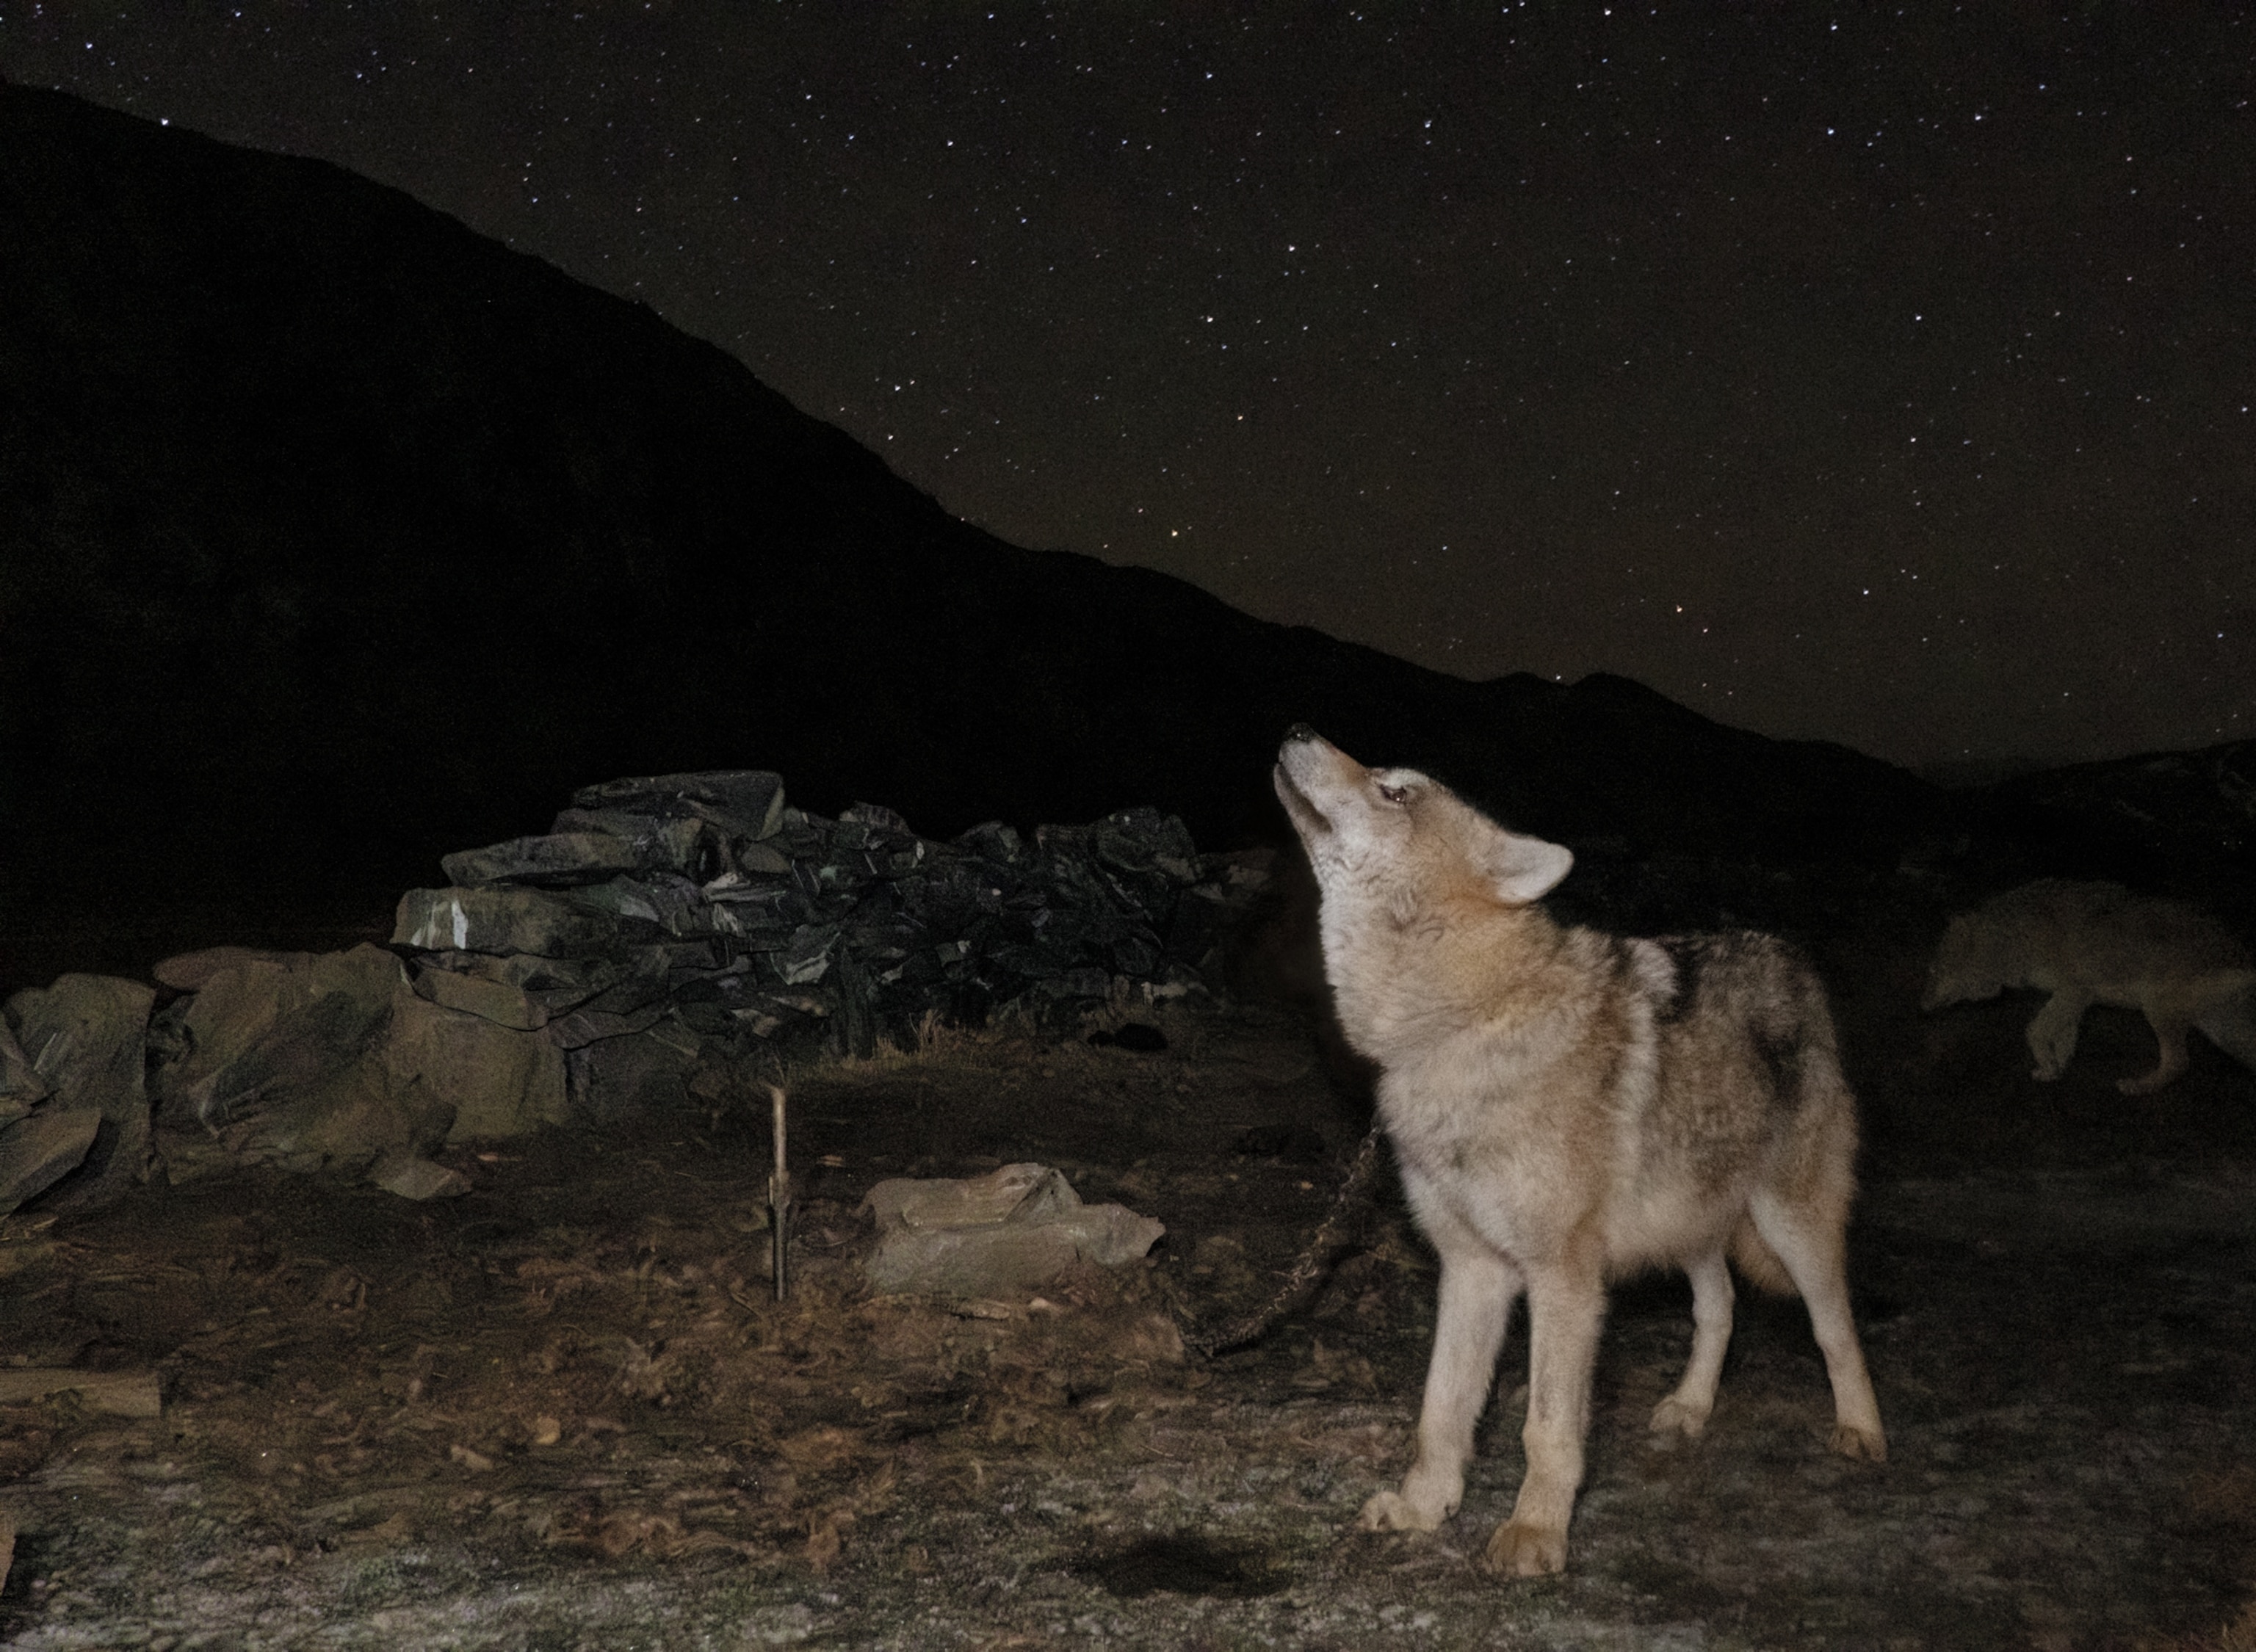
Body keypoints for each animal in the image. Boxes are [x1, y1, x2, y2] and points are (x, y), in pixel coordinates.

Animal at [1272, 726, 1885, 1577]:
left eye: (1396, 791)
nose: (1298, 731)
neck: (1460, 1023)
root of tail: (1788, 957)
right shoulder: (1472, 1268)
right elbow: (1441, 1411)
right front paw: (1425, 1510)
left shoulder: (1562, 1278)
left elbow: (1547, 1427)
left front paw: (1534, 1535)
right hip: (1691, 1227)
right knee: (1719, 1309)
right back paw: (1690, 1408)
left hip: (1791, 1226)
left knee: (1835, 1328)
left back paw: (1862, 1430)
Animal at [1921, 878, 2256, 1095]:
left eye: (1934, 970)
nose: (1922, 1006)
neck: (2012, 938)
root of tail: (2242, 956)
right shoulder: (2076, 998)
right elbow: (2064, 1037)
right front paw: (2056, 1068)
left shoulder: (2073, 990)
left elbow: (2035, 1031)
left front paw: (2049, 1065)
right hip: (2220, 1031)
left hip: (2158, 1011)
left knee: (2178, 1062)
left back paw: (2138, 1087)